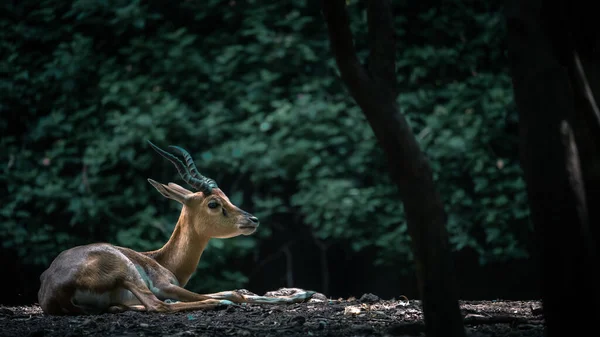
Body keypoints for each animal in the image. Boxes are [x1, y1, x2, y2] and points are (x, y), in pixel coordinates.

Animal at [38, 140, 316, 314]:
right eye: (214, 204)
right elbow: (236, 293)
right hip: (128, 273)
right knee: (159, 305)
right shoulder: (165, 285)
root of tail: (54, 289)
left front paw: (303, 294)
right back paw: (219, 305)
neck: (161, 259)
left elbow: (236, 290)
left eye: (226, 196)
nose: (252, 220)